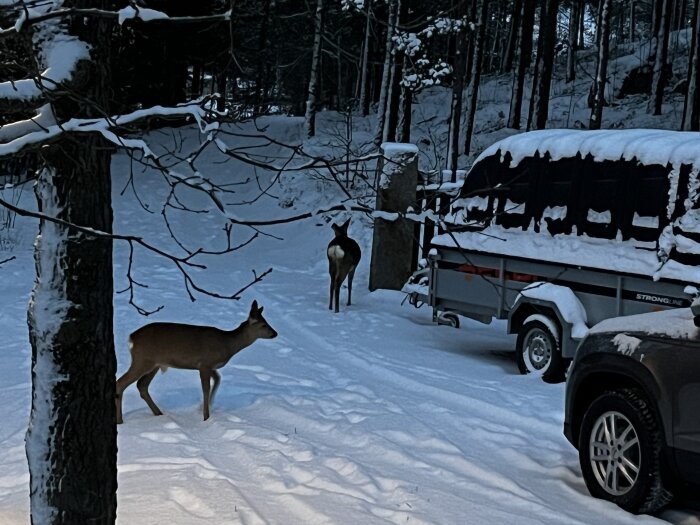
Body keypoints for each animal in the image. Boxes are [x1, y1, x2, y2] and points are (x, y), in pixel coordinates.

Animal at [115, 298, 276, 422]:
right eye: (263, 325)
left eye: (267, 322)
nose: (275, 333)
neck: (227, 344)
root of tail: (131, 337)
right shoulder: (204, 363)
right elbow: (206, 388)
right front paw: (206, 417)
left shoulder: (209, 366)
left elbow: (218, 379)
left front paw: (204, 408)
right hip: (142, 360)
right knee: (121, 383)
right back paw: (120, 420)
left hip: (154, 364)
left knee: (142, 385)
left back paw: (159, 414)